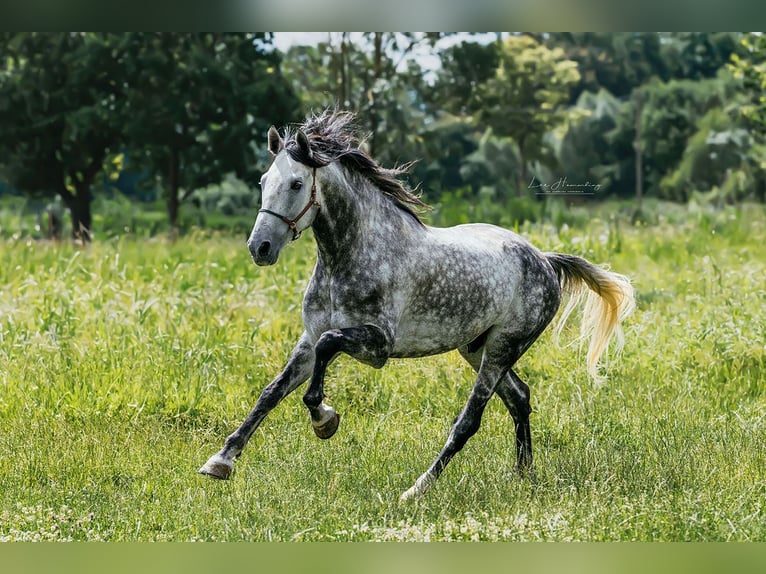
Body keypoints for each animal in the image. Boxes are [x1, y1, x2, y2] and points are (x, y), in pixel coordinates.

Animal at [200, 110, 636, 502]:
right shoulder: (308, 338)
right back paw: (523, 477)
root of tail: (544, 259)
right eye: (263, 181)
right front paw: (220, 462)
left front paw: (325, 420)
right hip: (476, 348)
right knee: (520, 397)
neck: (350, 255)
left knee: (469, 421)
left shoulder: (376, 345)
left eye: (295, 183)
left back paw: (416, 490)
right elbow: (271, 392)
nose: (259, 248)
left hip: (502, 349)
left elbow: (326, 352)